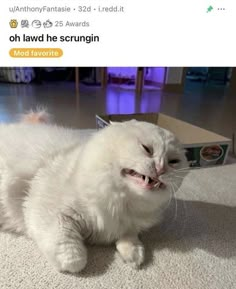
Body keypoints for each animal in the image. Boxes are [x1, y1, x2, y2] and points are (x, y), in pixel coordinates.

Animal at [0, 113, 188, 272]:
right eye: (147, 149)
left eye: (174, 161)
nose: (161, 168)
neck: (125, 202)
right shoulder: (50, 213)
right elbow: (74, 259)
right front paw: (74, 263)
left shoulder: (128, 226)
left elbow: (129, 237)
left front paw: (134, 257)